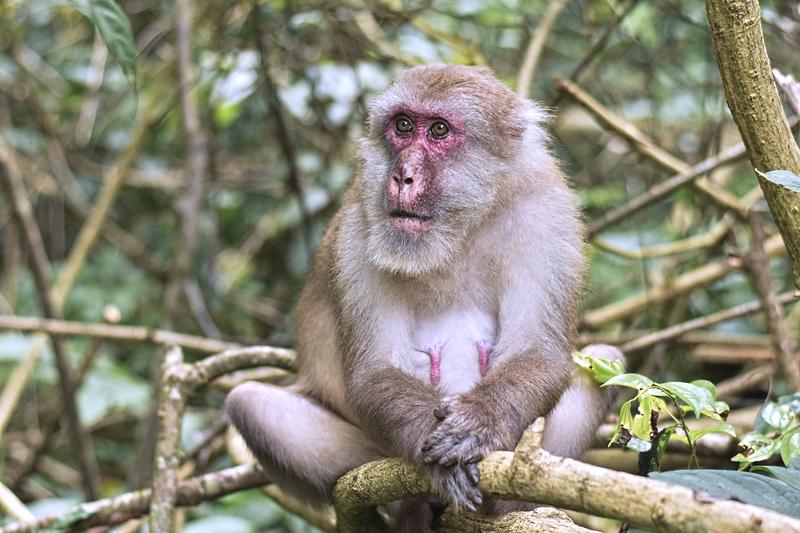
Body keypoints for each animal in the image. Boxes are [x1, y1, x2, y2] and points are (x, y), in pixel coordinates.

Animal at [227, 63, 624, 528]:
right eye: (402, 126)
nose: (403, 176)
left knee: (607, 359)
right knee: (249, 402)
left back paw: (507, 506)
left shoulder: (548, 215)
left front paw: (476, 426)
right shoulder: (359, 230)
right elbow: (377, 370)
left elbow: (537, 352)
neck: (459, 229)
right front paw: (437, 455)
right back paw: (412, 506)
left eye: (438, 130)